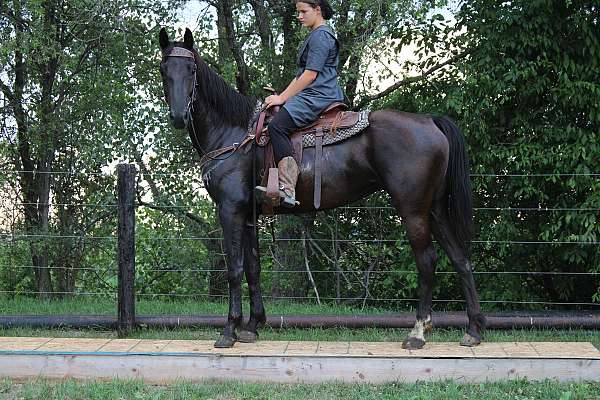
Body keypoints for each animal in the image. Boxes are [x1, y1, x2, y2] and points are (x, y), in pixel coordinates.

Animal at [157, 27, 486, 350]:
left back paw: (417, 332)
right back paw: (473, 330)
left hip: (413, 209)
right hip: (435, 208)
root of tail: (430, 121)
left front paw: (229, 331)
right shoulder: (248, 215)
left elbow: (235, 270)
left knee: (427, 261)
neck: (235, 134)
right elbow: (253, 267)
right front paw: (252, 325)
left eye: (191, 69)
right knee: (460, 258)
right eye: (164, 70)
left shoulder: (230, 211)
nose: (179, 116)